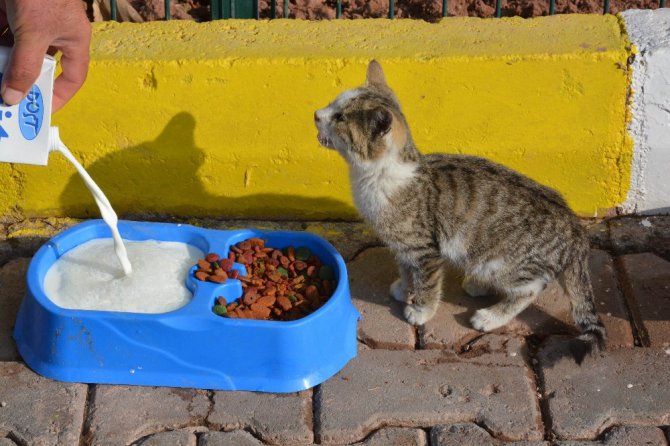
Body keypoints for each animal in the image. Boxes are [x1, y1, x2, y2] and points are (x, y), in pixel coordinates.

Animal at [316, 59, 608, 360]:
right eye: (332, 104)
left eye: (339, 118)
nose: (316, 114)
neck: (378, 176)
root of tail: (575, 226)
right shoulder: (403, 246)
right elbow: (407, 269)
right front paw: (404, 288)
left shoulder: (425, 250)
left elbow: (428, 282)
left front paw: (421, 309)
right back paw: (477, 285)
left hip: (503, 262)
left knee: (531, 288)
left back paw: (490, 316)